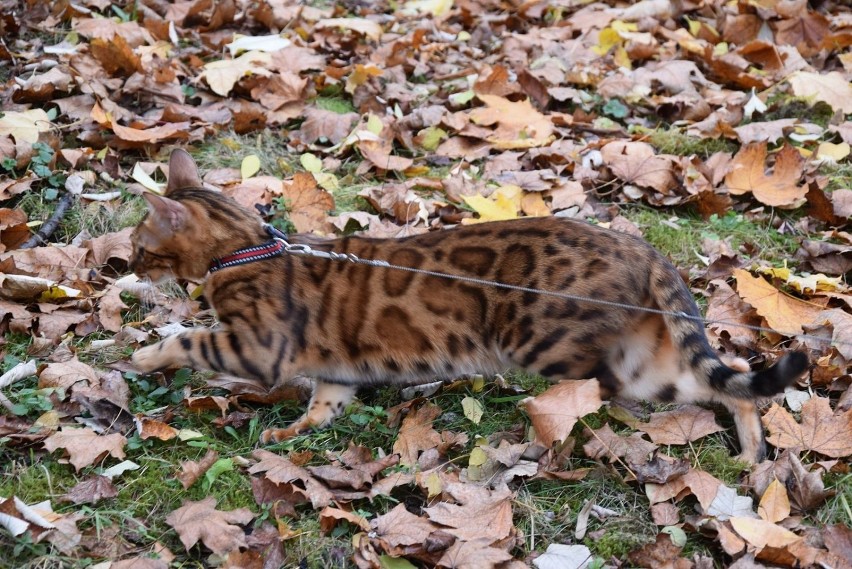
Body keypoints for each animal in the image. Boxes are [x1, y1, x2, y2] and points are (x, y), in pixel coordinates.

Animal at [130, 150, 808, 462]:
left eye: (139, 244)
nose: (124, 265)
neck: (244, 244)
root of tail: (640, 247)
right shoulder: (332, 372)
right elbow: (325, 404)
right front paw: (291, 432)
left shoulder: (258, 345)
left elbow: (187, 340)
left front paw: (143, 356)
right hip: (648, 363)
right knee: (730, 381)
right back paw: (753, 455)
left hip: (550, 345)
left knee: (605, 389)